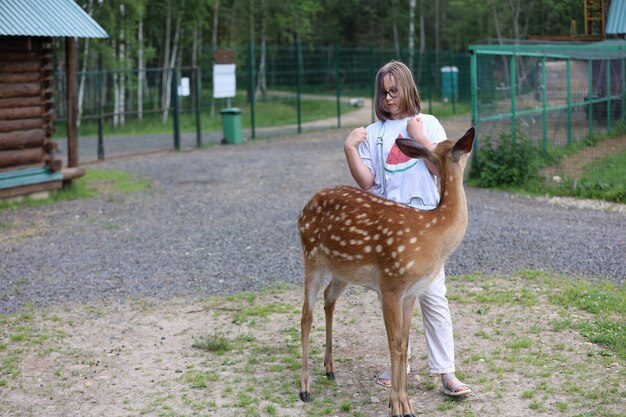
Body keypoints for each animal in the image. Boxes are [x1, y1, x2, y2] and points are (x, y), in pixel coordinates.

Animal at [298, 127, 472, 416]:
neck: (434, 234)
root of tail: (305, 206)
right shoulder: (392, 284)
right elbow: (395, 344)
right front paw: (397, 406)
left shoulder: (412, 291)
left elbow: (404, 342)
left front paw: (407, 405)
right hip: (310, 256)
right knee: (305, 316)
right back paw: (304, 388)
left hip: (341, 270)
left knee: (329, 298)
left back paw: (330, 369)